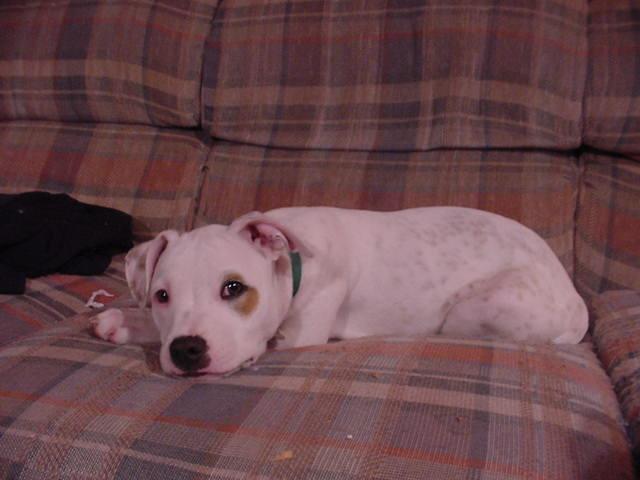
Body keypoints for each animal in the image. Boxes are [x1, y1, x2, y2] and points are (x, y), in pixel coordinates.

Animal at [92, 207, 588, 376]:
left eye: (234, 288)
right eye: (161, 296)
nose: (187, 350)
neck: (292, 261)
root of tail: (577, 300)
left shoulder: (298, 338)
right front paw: (124, 320)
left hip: (475, 307)